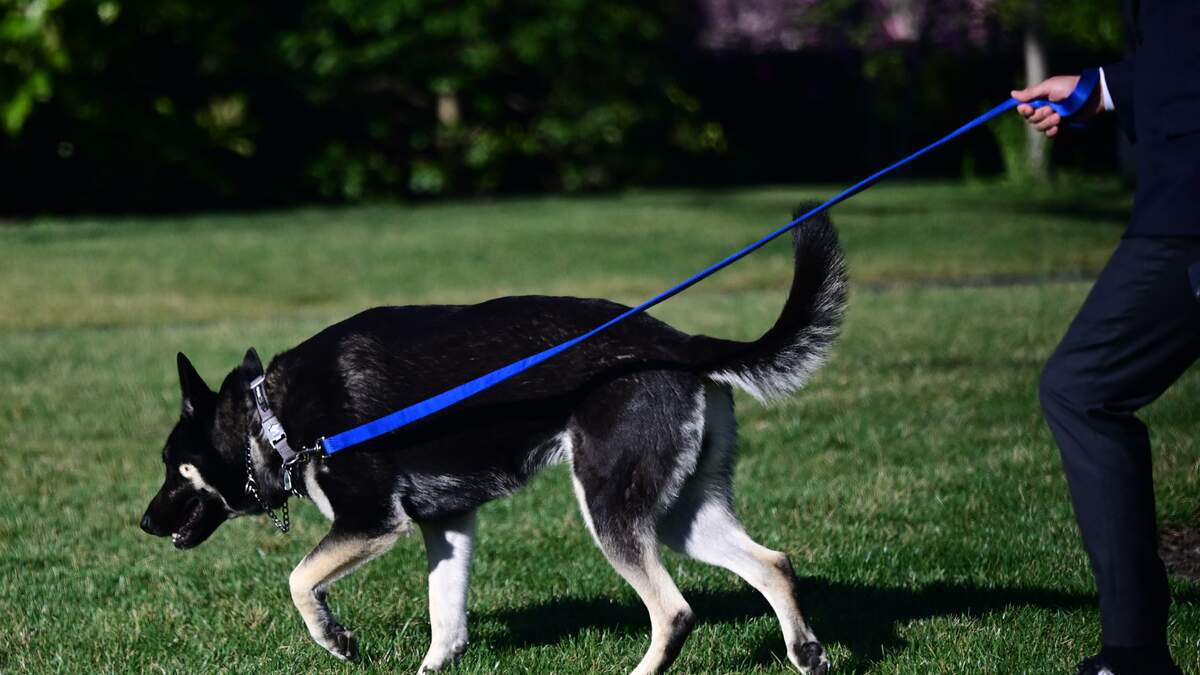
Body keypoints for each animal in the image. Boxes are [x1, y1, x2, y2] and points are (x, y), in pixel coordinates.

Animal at [139, 206, 846, 675]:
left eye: (174, 467)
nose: (144, 523)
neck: (274, 418)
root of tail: (680, 344)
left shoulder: (372, 523)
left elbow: (298, 580)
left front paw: (336, 638)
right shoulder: (447, 524)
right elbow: (446, 621)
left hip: (611, 506)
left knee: (673, 610)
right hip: (679, 512)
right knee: (774, 563)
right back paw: (808, 652)